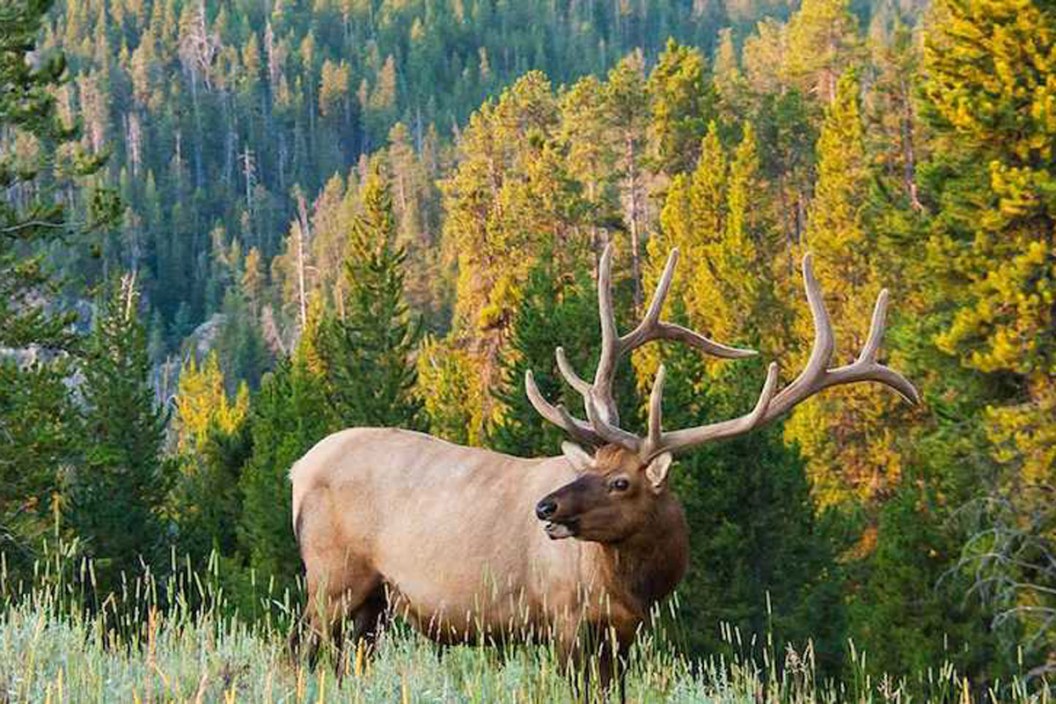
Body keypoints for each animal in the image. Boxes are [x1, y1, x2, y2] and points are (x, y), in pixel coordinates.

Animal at [289, 245, 919, 696]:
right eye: (592, 466)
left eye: (621, 481)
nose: (545, 507)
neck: (636, 585)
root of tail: (297, 469)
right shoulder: (563, 617)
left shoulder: (625, 633)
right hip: (332, 576)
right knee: (303, 651)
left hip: (371, 602)